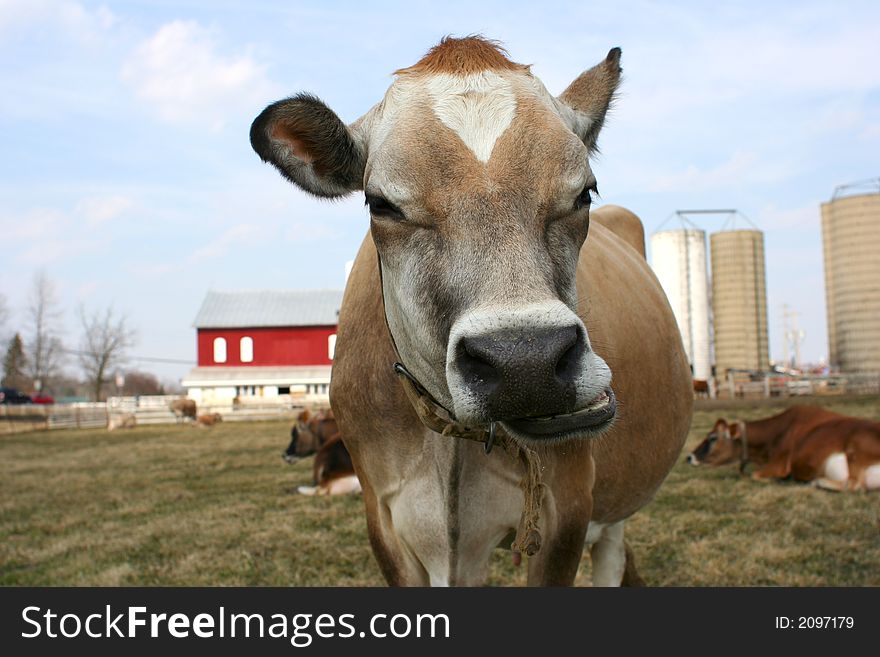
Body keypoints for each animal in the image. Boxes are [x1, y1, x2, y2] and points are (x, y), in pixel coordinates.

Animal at [249, 38, 696, 588]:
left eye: (584, 192)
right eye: (380, 204)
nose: (525, 363)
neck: (454, 446)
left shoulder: (568, 510)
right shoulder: (387, 519)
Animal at [688, 404, 880, 492]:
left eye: (712, 438)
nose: (689, 456)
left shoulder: (778, 464)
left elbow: (755, 475)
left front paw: (777, 480)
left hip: (855, 449)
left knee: (853, 485)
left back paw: (816, 481)